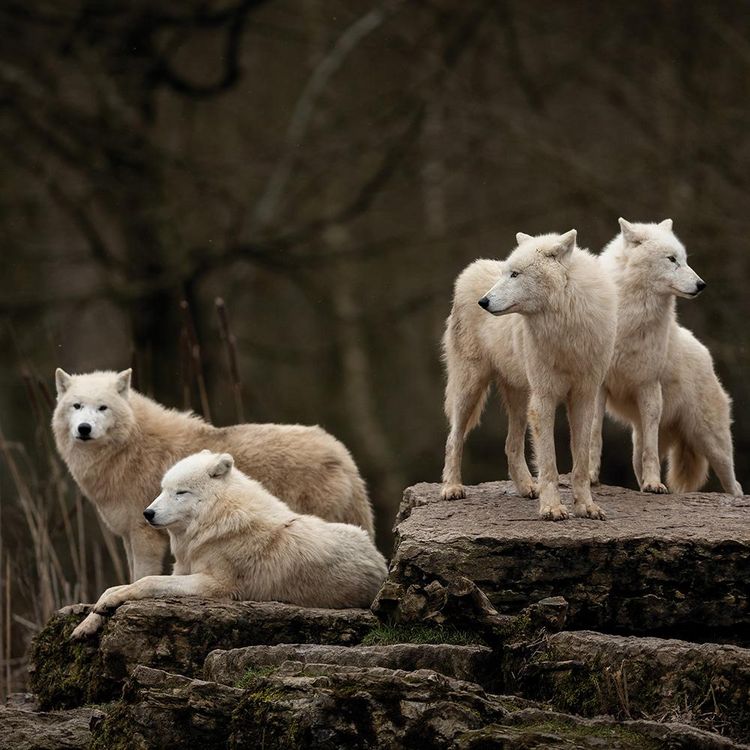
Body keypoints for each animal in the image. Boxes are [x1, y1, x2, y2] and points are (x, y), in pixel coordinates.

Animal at [53, 369, 375, 583]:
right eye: (77, 406)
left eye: (102, 408)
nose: (84, 428)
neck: (130, 447)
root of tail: (342, 453)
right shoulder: (129, 535)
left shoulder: (145, 535)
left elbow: (141, 576)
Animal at [71, 450, 387, 638]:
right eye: (163, 489)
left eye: (180, 492)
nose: (147, 513)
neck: (216, 520)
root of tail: (382, 563)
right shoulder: (182, 570)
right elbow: (113, 588)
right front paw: (87, 623)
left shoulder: (215, 585)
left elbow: (146, 582)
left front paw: (109, 605)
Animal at [441, 230, 617, 520]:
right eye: (506, 273)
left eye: (515, 274)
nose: (483, 302)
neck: (565, 329)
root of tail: (470, 269)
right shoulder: (544, 399)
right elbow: (549, 464)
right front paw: (552, 508)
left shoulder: (584, 396)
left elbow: (580, 463)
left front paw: (586, 507)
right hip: (471, 387)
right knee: (453, 437)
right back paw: (451, 487)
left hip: (520, 397)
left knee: (510, 444)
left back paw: (526, 487)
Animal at [590, 218, 742, 496]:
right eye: (672, 259)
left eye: (684, 259)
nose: (702, 285)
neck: (628, 318)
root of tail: (706, 355)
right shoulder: (598, 385)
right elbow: (594, 435)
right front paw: (590, 475)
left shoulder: (649, 386)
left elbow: (651, 451)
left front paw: (654, 484)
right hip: (639, 446)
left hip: (714, 444)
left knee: (734, 484)